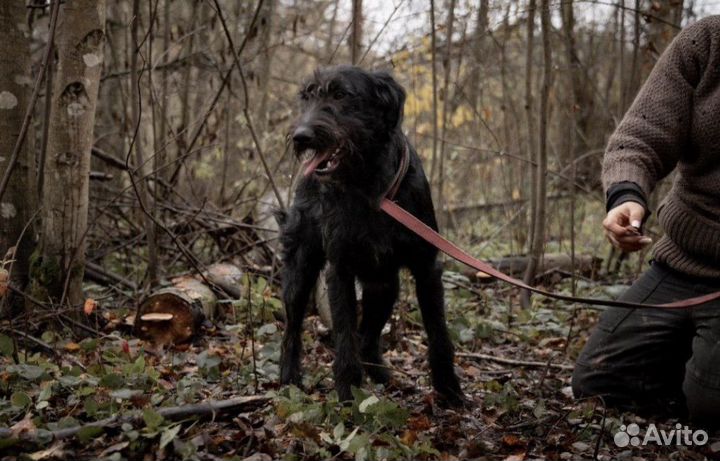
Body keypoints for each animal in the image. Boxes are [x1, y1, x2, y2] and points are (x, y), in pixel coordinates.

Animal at [278, 65, 464, 406]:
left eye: (341, 94)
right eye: (307, 96)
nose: (301, 136)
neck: (369, 186)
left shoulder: (427, 267)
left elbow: (438, 334)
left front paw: (448, 388)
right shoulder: (340, 271)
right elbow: (345, 336)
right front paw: (348, 395)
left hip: (385, 286)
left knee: (368, 337)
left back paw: (384, 377)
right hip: (300, 271)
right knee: (292, 328)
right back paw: (288, 378)